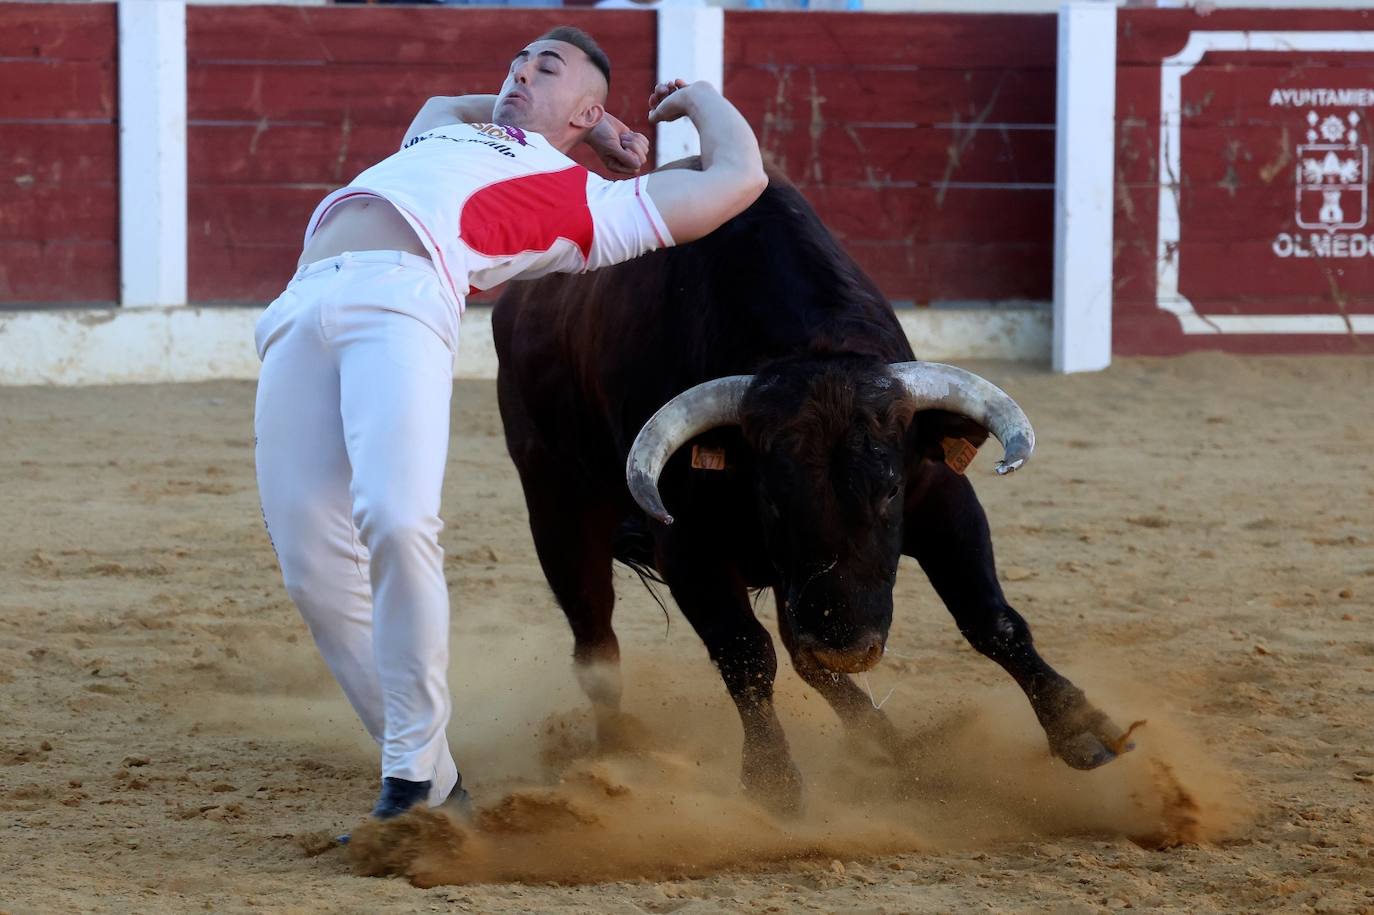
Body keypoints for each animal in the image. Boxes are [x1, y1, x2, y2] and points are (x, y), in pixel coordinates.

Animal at [494, 164, 1126, 813]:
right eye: (770, 497)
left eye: (890, 490)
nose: (847, 646)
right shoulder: (687, 546)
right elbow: (744, 653)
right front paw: (773, 782)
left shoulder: (942, 503)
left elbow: (989, 617)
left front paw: (1080, 728)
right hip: (555, 510)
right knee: (598, 645)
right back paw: (618, 755)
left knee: (800, 652)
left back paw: (889, 748)